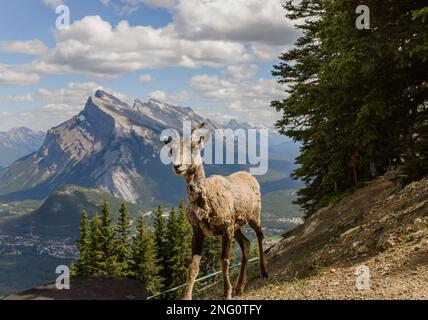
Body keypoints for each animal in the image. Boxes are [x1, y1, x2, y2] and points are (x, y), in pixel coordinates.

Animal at [163, 122, 268, 300]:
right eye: (171, 150)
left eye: (194, 147)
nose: (177, 166)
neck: (206, 207)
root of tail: (252, 177)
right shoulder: (197, 231)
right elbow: (192, 268)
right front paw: (186, 297)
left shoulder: (226, 227)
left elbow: (224, 260)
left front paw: (227, 293)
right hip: (237, 226)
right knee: (246, 243)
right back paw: (240, 287)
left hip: (254, 214)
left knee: (260, 235)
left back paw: (263, 272)